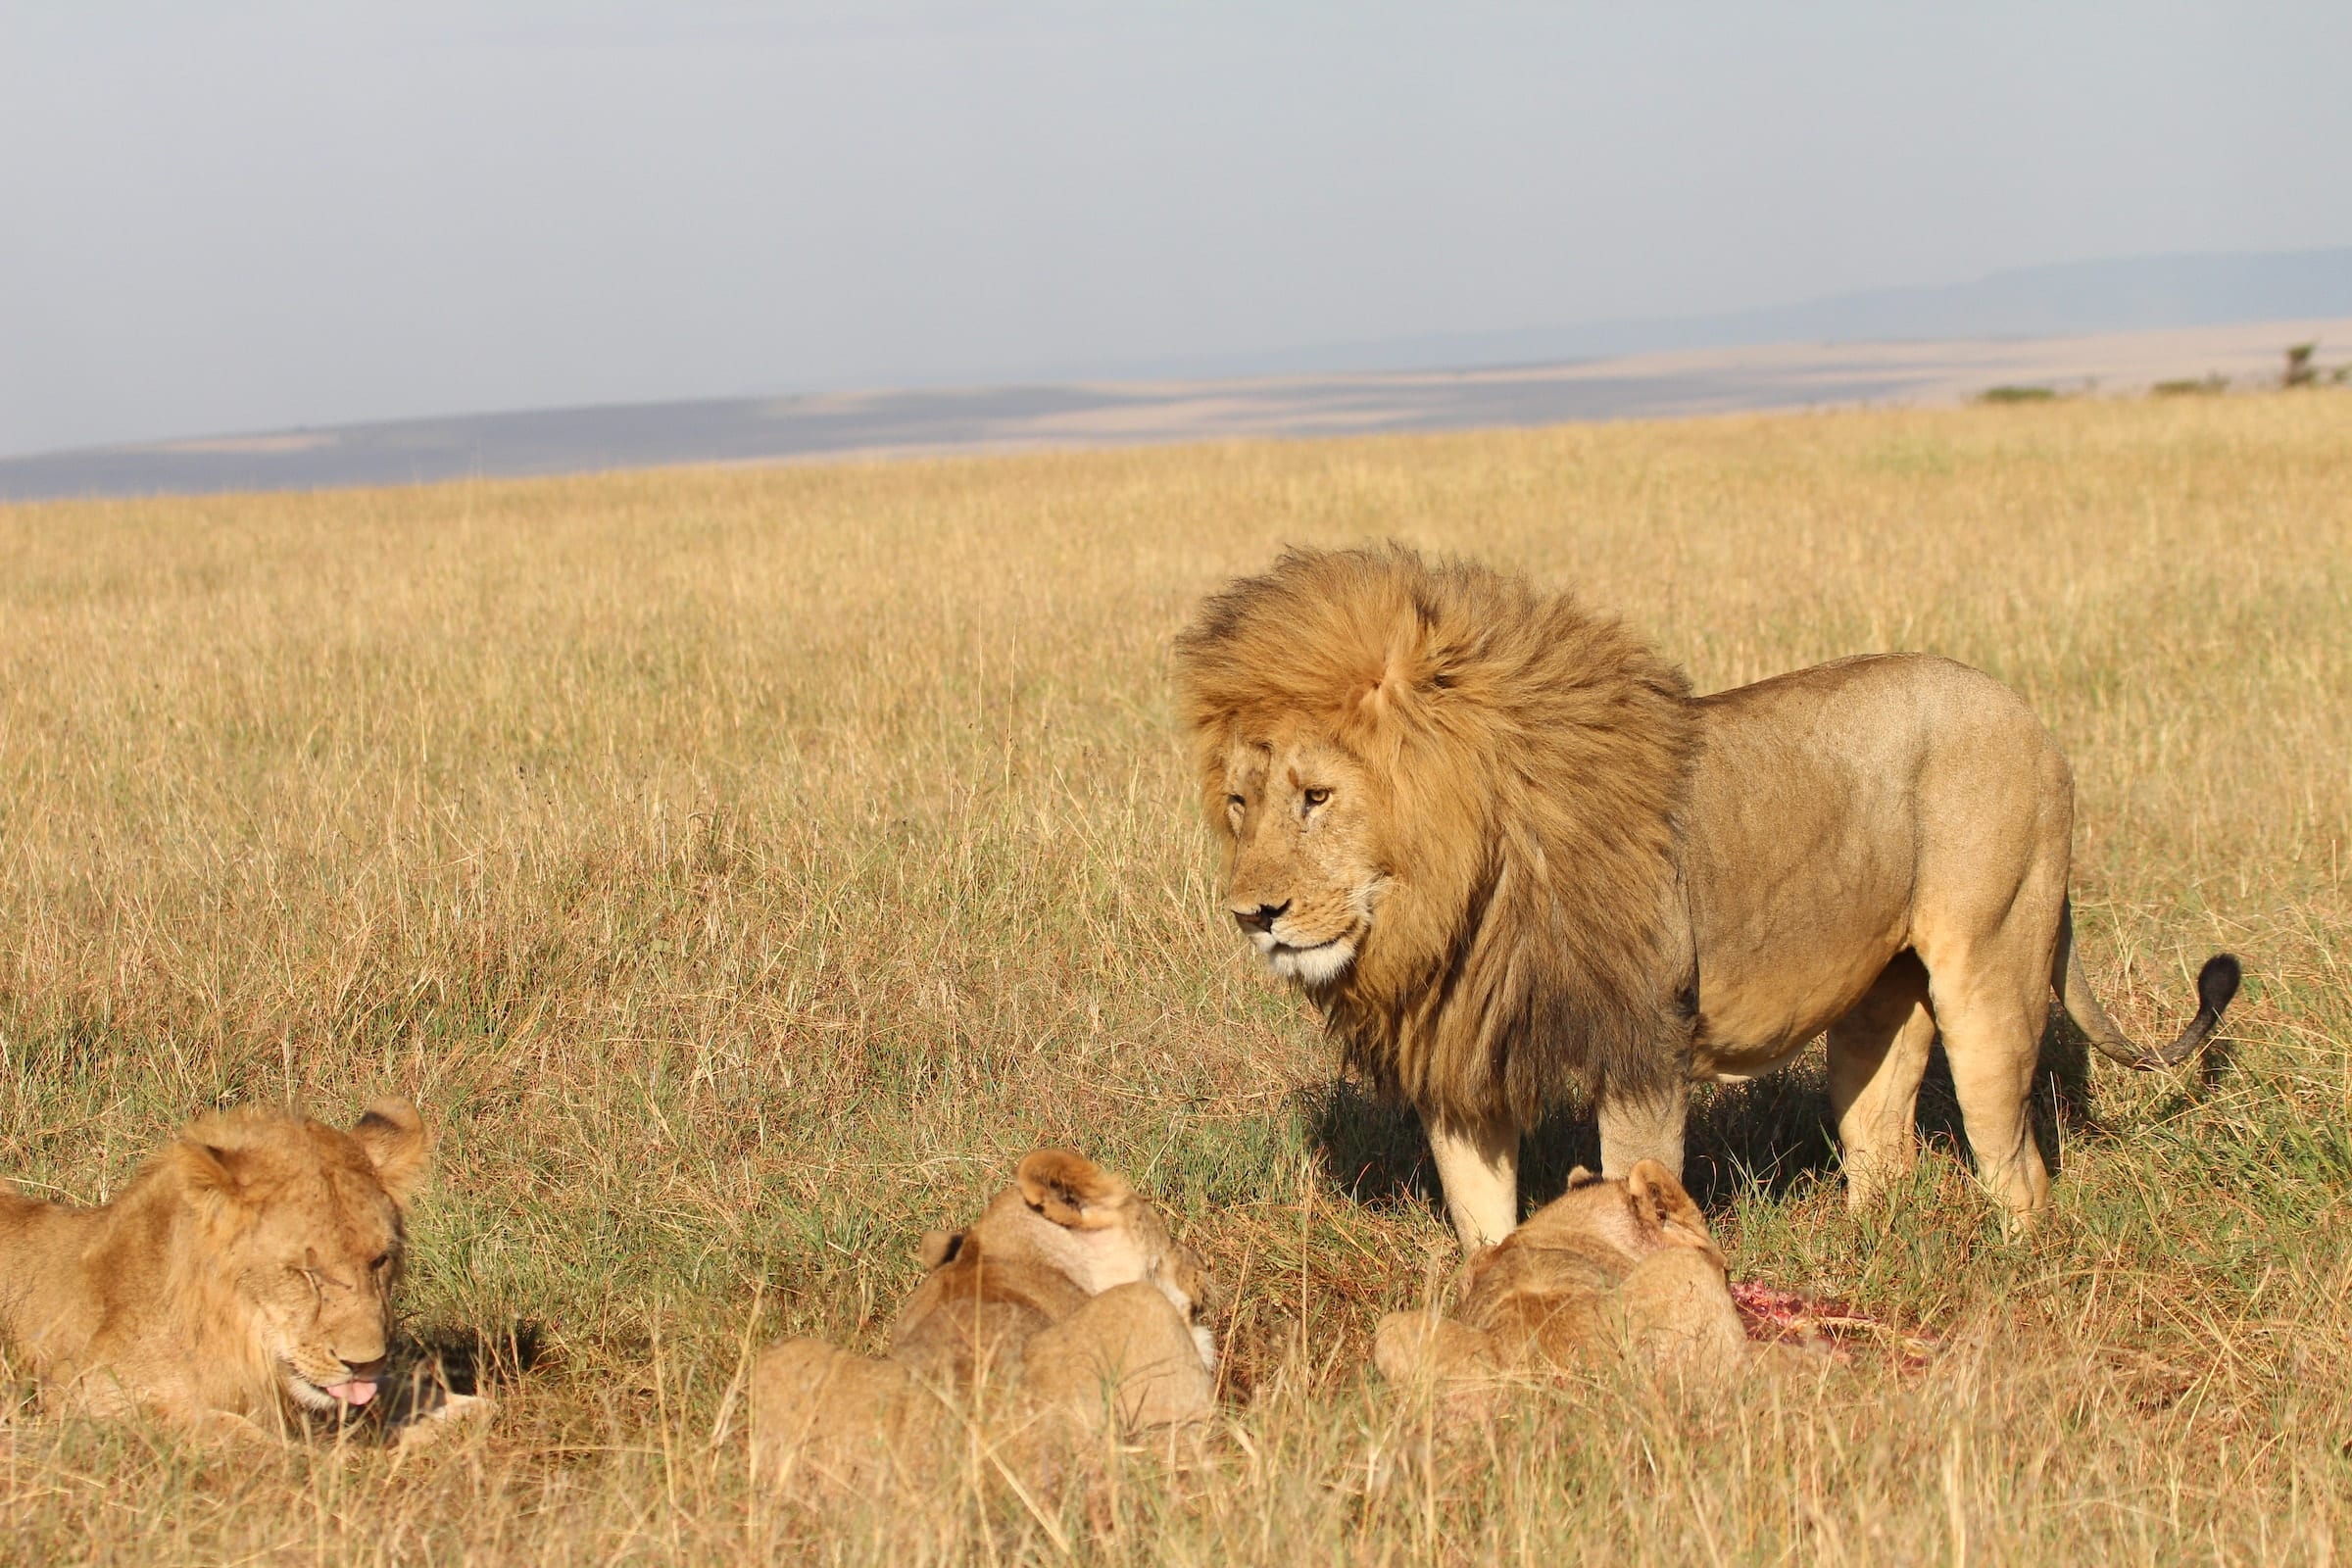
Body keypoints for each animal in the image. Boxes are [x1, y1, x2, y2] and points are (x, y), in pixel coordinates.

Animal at [1176, 545, 2238, 1241]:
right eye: (1238, 803)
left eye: (1316, 797)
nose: (1253, 915)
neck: (1452, 898)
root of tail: (2023, 710)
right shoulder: (1465, 1059)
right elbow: (1482, 1218)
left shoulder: (1644, 1041)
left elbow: (1637, 1195)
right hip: (1876, 997)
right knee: (1879, 1138)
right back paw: (1865, 1254)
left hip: (1993, 961)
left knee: (2014, 1159)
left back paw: (2016, 1266)